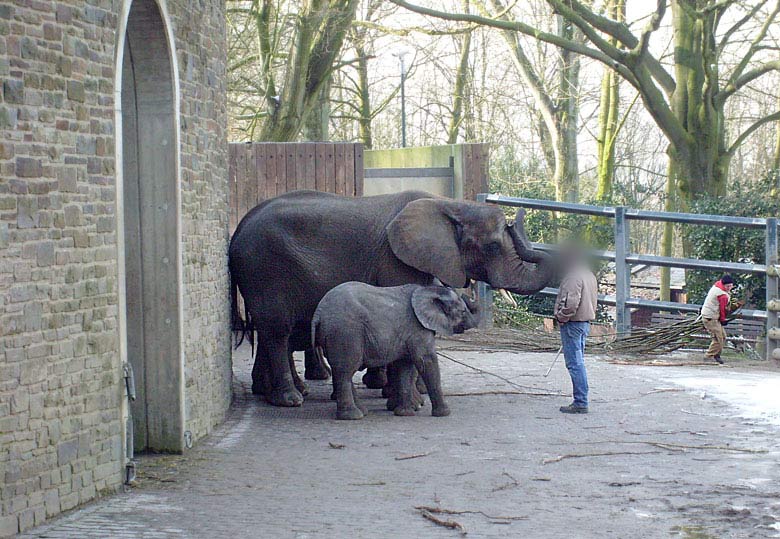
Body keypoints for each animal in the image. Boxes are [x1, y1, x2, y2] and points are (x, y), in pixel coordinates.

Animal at [229, 192, 552, 408]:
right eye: (493, 246)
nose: (516, 219)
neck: (450, 204)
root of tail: (237, 232)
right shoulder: (395, 258)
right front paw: (412, 401)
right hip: (265, 269)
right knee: (277, 331)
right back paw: (290, 399)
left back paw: (272, 392)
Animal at [312, 282, 482, 422]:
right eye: (462, 311)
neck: (428, 290)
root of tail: (318, 312)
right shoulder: (418, 328)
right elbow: (426, 361)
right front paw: (444, 413)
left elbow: (405, 366)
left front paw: (405, 413)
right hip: (346, 332)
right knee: (345, 371)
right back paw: (353, 416)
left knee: (342, 370)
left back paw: (361, 411)